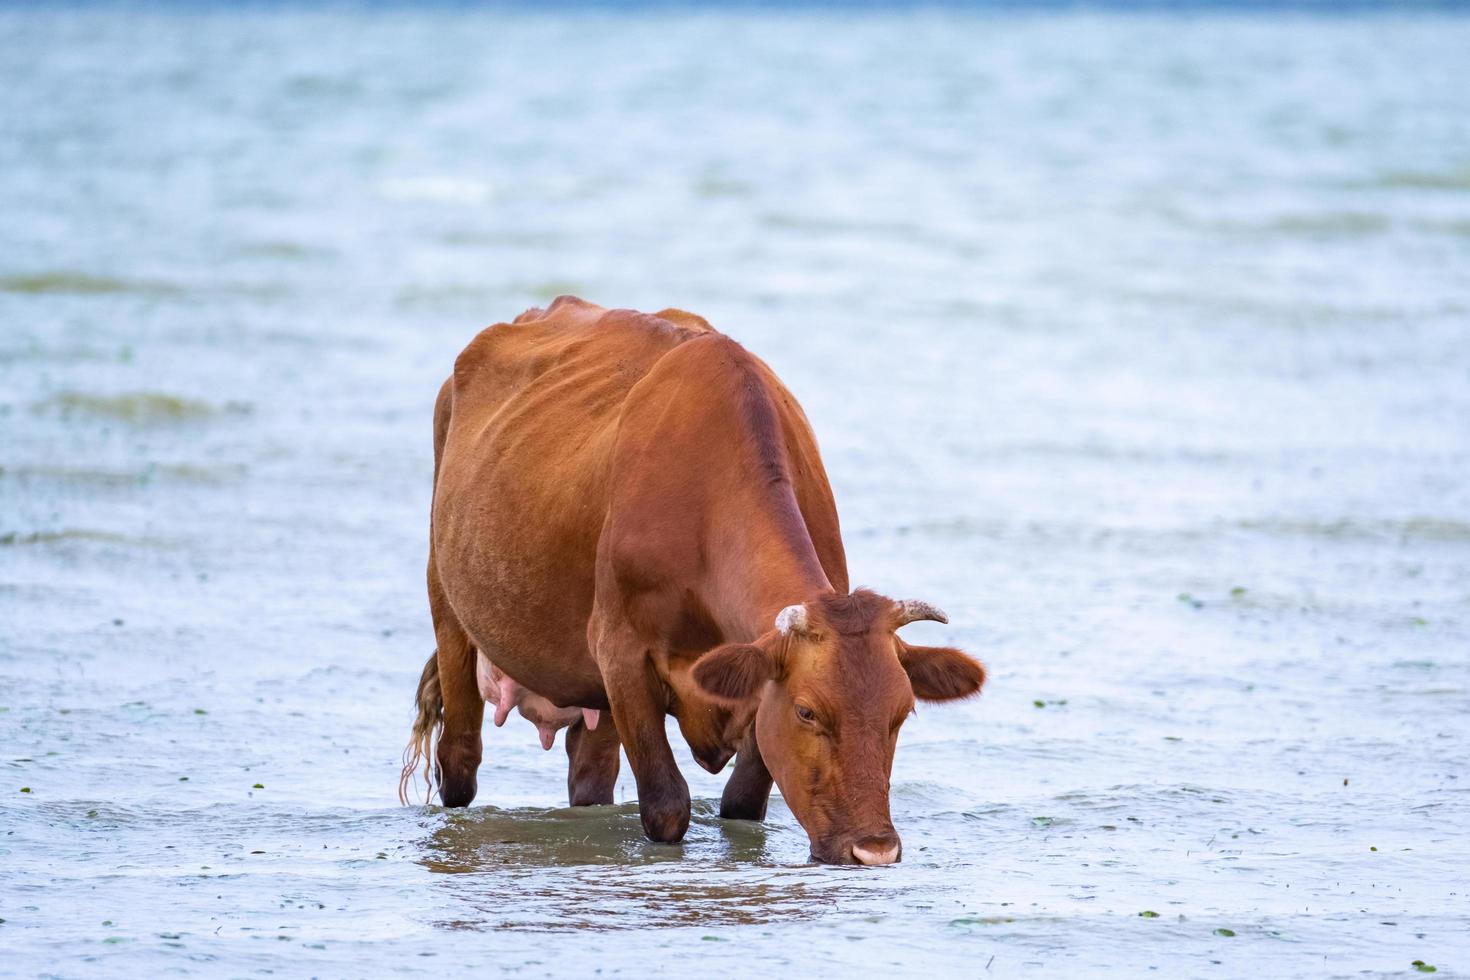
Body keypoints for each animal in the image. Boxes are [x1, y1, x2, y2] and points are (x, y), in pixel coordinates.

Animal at [399, 299, 987, 863]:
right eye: (807, 711)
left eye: (902, 713)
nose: (875, 849)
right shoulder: (620, 653)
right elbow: (666, 805)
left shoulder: (752, 690)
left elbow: (742, 801)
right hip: (448, 606)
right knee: (460, 759)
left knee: (589, 774)